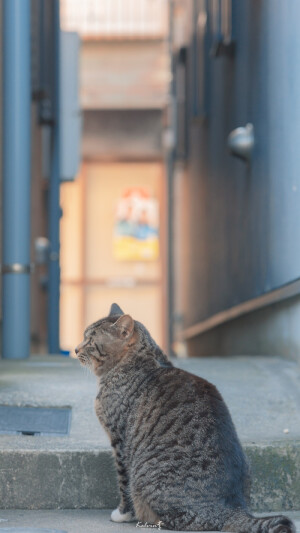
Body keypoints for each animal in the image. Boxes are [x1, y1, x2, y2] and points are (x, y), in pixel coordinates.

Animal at [75, 304, 296, 532]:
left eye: (90, 341)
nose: (75, 349)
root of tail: (232, 508)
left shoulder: (119, 440)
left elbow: (123, 481)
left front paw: (122, 513)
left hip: (147, 480)